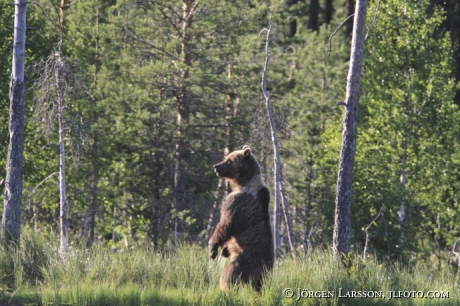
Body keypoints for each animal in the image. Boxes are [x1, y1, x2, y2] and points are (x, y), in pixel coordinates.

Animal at [208, 145, 274, 292]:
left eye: (229, 161)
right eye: (226, 158)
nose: (216, 166)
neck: (243, 183)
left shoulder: (236, 203)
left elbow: (226, 224)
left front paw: (212, 248)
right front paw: (224, 250)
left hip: (245, 261)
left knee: (229, 274)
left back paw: (227, 289)